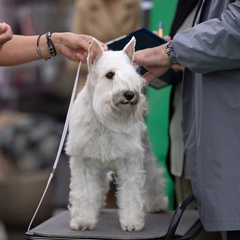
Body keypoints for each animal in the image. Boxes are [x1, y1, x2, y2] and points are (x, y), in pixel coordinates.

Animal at [64, 37, 168, 231]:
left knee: (154, 177)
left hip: (146, 156)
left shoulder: (130, 161)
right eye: (110, 74)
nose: (129, 94)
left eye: (133, 74)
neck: (104, 120)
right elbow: (85, 192)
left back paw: (157, 203)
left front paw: (132, 222)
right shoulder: (84, 161)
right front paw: (83, 220)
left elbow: (131, 194)